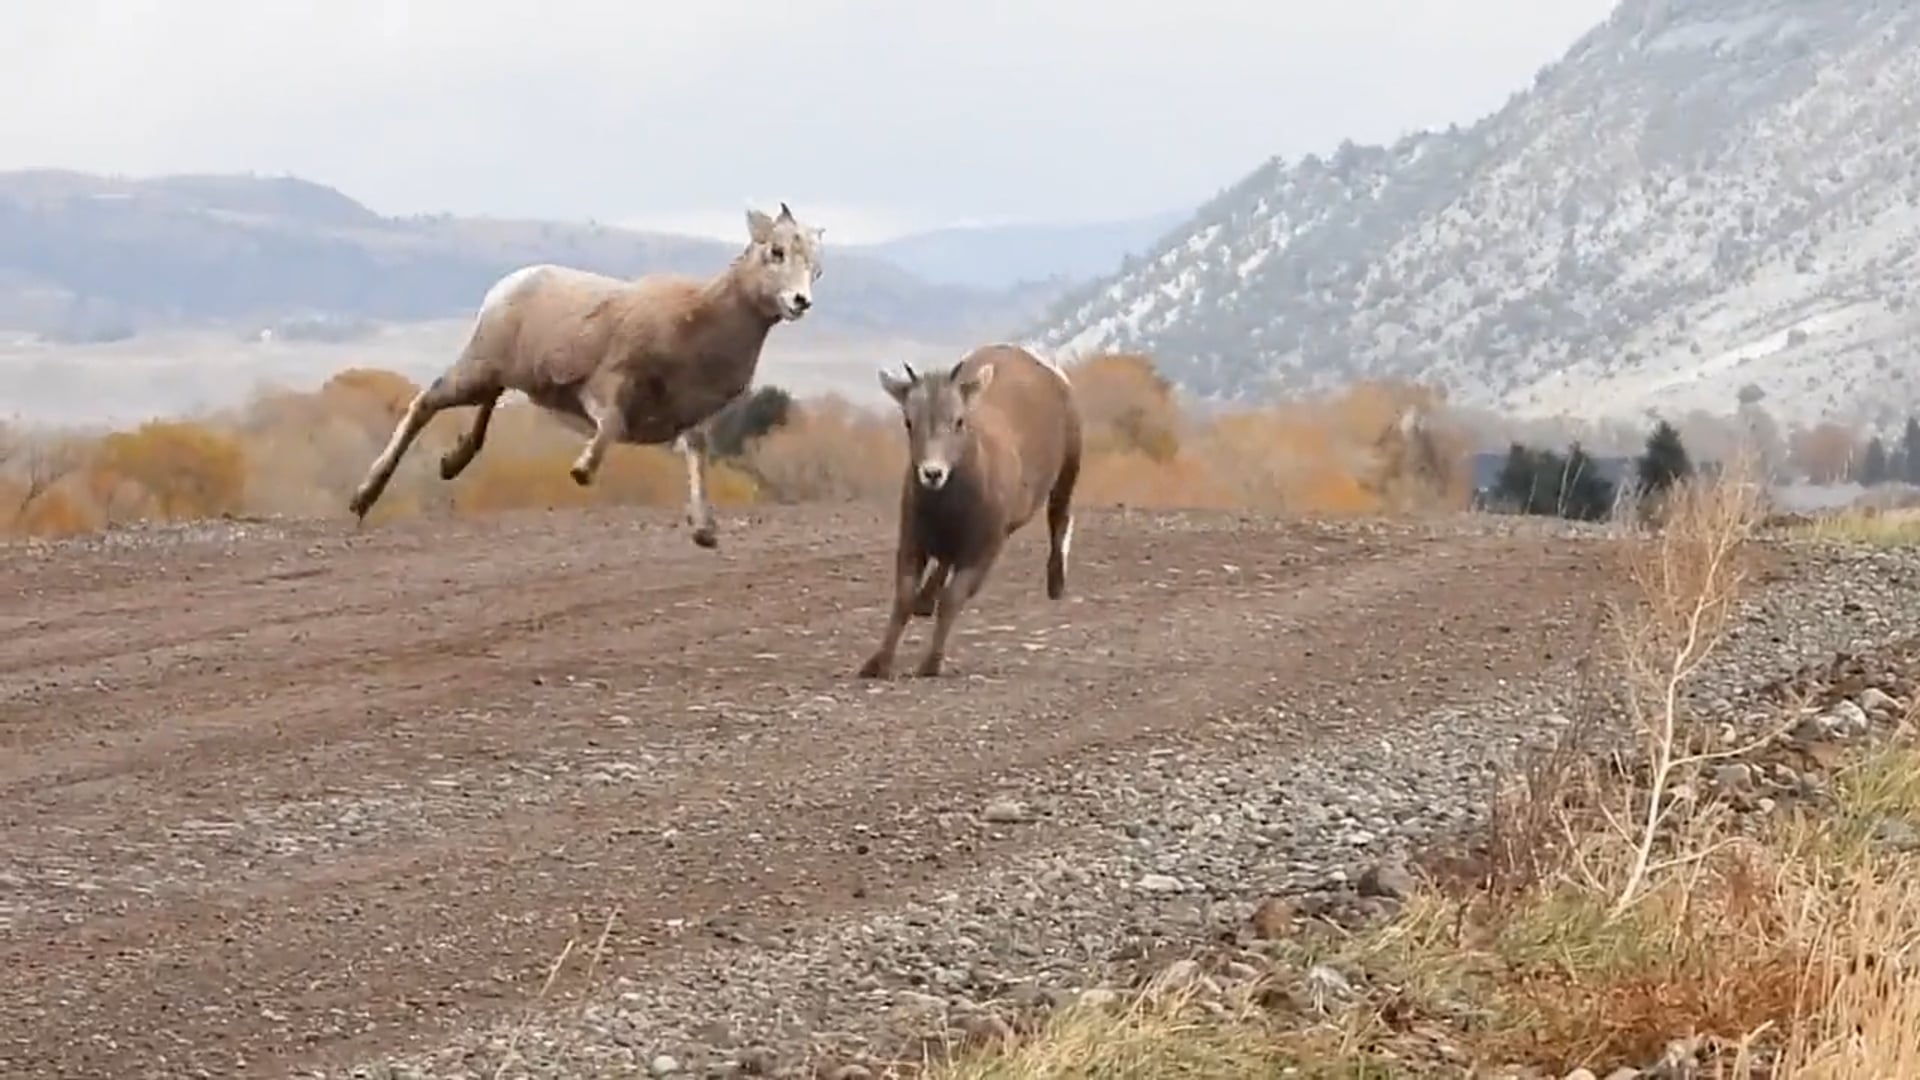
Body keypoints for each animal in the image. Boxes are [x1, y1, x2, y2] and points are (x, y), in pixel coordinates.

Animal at [345, 201, 825, 548]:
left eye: (816, 268)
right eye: (776, 252)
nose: (800, 302)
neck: (698, 323)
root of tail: (507, 286)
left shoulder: (690, 419)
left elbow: (697, 457)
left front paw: (704, 531)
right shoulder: (604, 392)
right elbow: (610, 427)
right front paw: (582, 471)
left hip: (502, 376)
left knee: (484, 407)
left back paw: (452, 462)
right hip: (477, 370)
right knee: (425, 404)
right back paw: (364, 497)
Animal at [856, 343, 1083, 679]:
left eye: (959, 421)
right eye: (909, 422)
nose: (932, 473)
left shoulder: (983, 550)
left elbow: (952, 600)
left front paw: (931, 664)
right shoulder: (912, 541)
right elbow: (904, 597)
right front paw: (876, 664)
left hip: (1067, 473)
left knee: (1060, 518)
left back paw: (1056, 585)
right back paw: (925, 601)